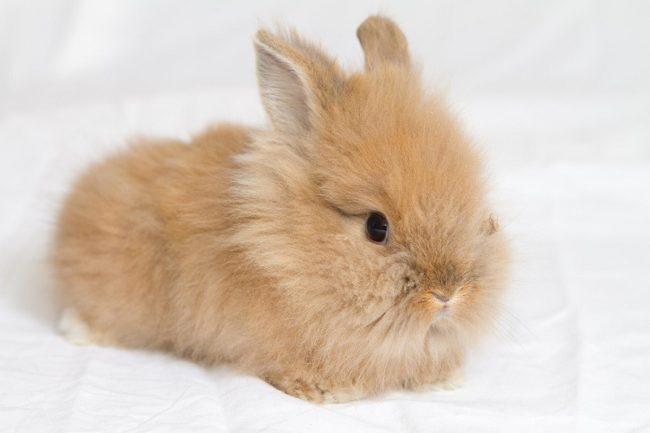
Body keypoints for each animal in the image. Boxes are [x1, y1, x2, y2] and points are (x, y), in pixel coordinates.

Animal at [52, 15, 510, 403]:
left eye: (478, 211)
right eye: (376, 227)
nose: (448, 294)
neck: (294, 255)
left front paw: (447, 380)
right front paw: (329, 392)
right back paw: (77, 330)